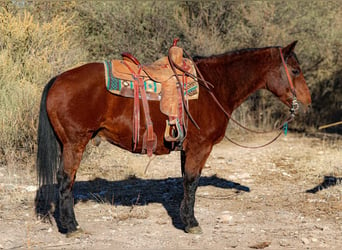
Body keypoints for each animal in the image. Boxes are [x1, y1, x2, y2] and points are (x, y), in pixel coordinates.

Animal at [36, 41, 312, 236]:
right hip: (75, 143)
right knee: (66, 180)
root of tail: (58, 79)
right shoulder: (200, 147)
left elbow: (186, 182)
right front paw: (191, 223)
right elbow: (192, 181)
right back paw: (71, 227)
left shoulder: (186, 148)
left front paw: (183, 218)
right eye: (295, 70)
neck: (214, 86)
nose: (307, 102)